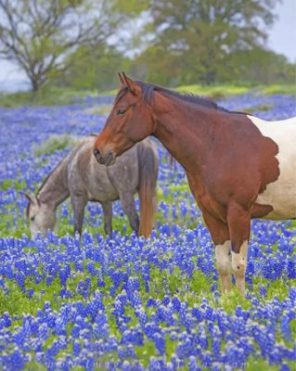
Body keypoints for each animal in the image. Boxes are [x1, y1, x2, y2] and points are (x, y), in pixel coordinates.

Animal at [26, 137, 158, 238]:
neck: (70, 165)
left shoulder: (77, 197)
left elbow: (77, 227)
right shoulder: (106, 202)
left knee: (136, 224)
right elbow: (108, 228)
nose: (35, 241)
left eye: (32, 218)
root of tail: (143, 144)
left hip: (126, 194)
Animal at [93, 73, 296, 296]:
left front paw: (241, 301)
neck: (218, 146)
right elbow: (222, 265)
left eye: (121, 110)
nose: (98, 151)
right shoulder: (212, 215)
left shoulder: (239, 213)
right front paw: (228, 301)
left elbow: (238, 265)